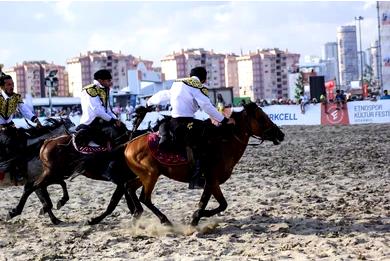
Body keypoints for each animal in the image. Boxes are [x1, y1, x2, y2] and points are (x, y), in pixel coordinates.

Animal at [123, 102, 284, 224]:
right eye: (262, 118)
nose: (280, 134)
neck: (223, 143)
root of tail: (128, 145)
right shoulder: (211, 180)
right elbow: (211, 203)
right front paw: (195, 220)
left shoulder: (213, 183)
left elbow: (219, 204)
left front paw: (197, 217)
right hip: (151, 176)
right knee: (145, 198)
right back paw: (164, 220)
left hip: (147, 176)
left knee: (129, 187)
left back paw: (137, 214)